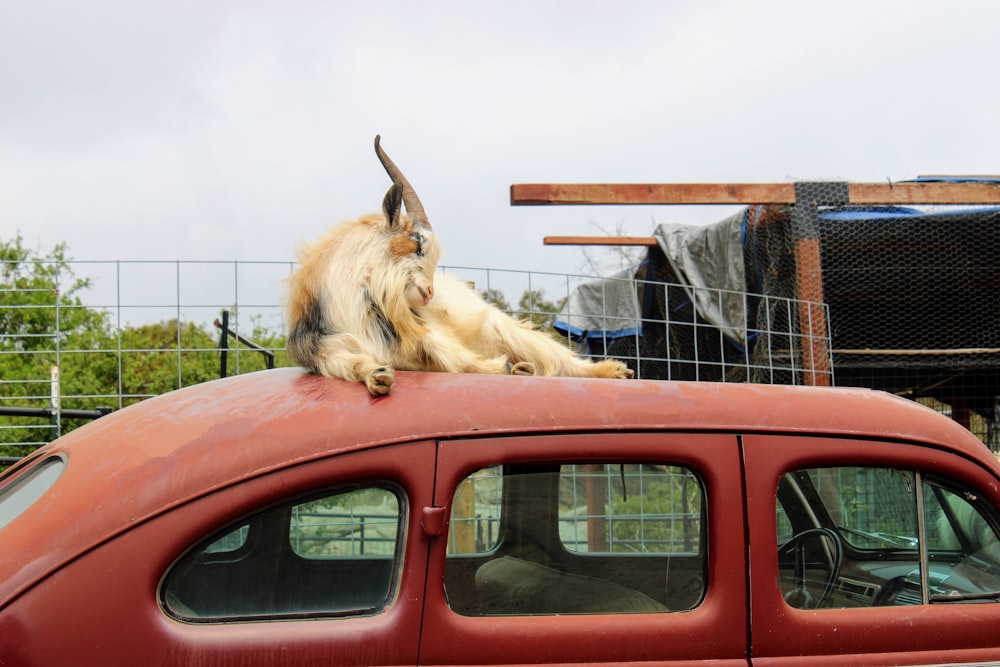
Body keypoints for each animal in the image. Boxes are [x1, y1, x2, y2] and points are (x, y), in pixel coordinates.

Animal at [286, 136, 632, 396]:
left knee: (554, 356)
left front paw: (501, 367)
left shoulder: (428, 335)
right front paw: (378, 376)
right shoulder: (326, 350)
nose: (428, 294)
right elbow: (352, 364)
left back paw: (612, 371)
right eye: (418, 243)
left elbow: (458, 359)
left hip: (499, 325)